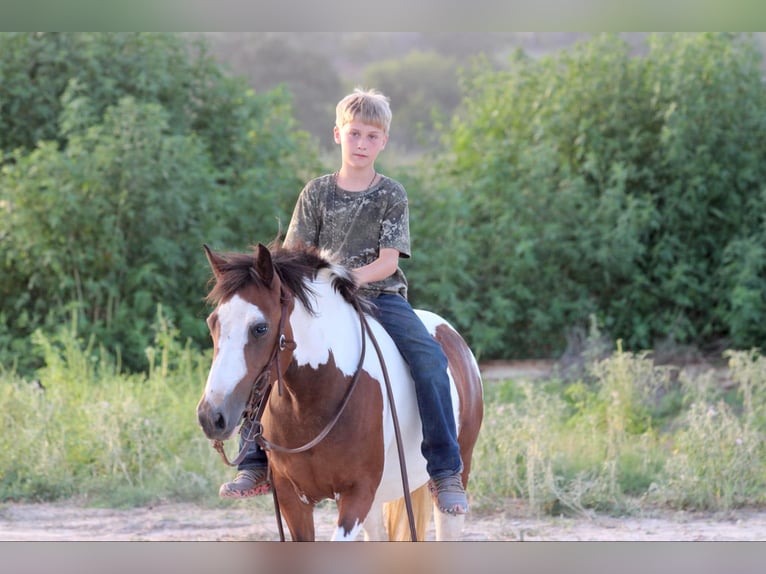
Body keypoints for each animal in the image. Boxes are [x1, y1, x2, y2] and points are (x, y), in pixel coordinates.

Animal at [198, 244, 486, 544]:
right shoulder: (291, 497)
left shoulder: (357, 493)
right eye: (212, 323)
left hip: (458, 468)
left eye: (260, 328)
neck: (311, 403)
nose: (211, 416)